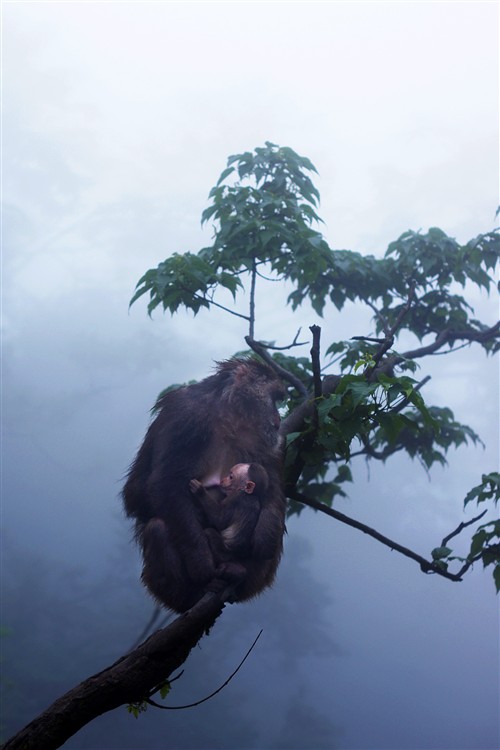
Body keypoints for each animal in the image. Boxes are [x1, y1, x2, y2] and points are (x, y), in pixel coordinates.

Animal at [123, 360, 288, 616]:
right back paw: (198, 591)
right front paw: (200, 563)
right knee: (157, 527)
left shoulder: (263, 441)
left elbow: (270, 485)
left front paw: (264, 534)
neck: (229, 418)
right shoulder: (186, 416)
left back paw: (238, 572)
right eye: (274, 398)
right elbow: (153, 486)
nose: (278, 420)